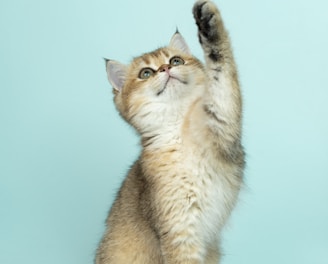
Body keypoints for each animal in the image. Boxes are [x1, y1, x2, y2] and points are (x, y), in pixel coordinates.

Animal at [95, 1, 243, 262]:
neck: (179, 128)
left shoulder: (223, 122)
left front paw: (208, 21)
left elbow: (221, 70)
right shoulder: (179, 229)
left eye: (175, 61)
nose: (165, 68)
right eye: (146, 73)